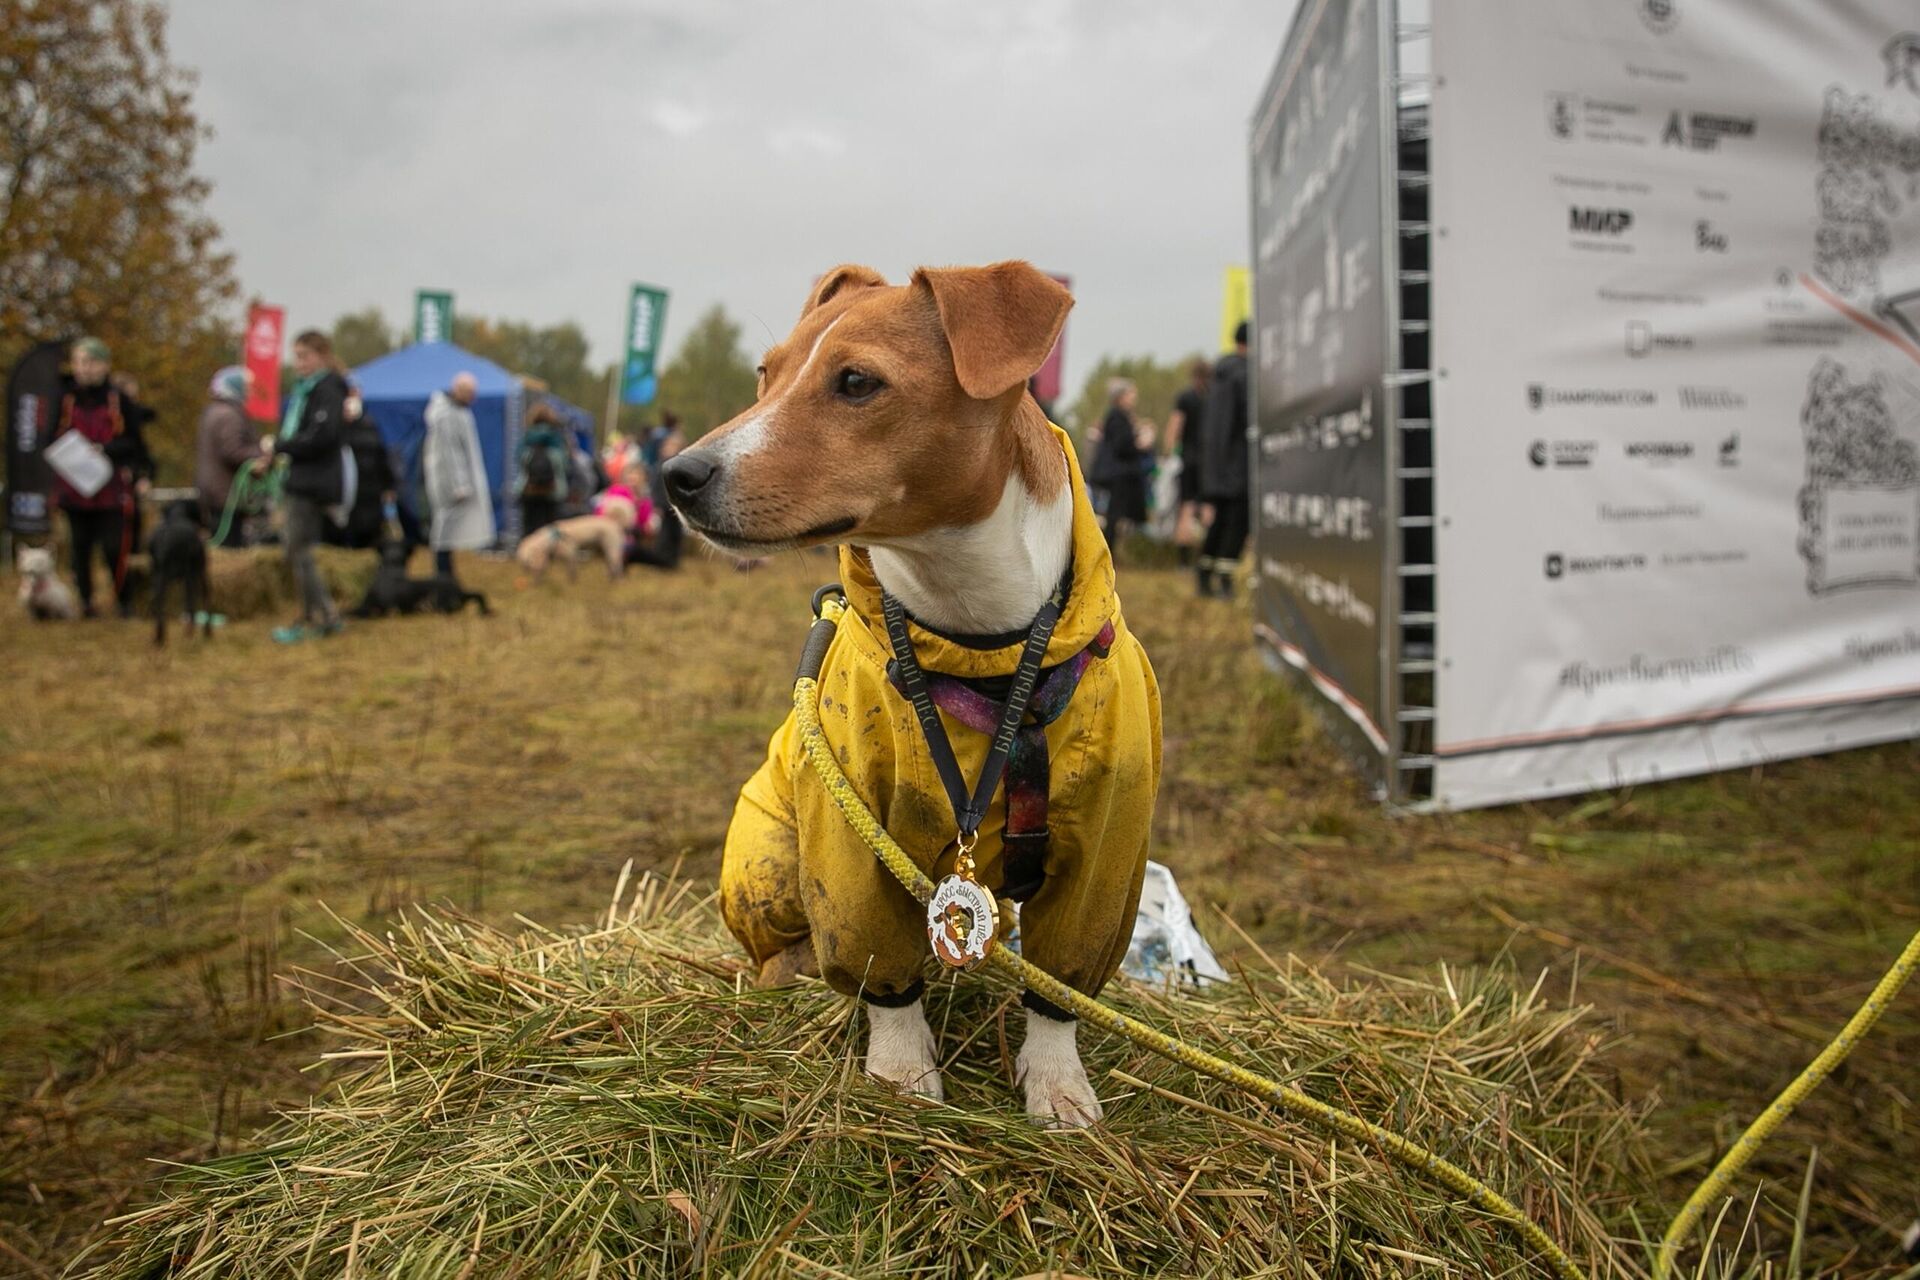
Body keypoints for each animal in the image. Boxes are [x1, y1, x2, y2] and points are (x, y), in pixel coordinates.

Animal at [147, 502, 214, 652]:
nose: (210, 523)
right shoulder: (197, 571)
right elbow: (203, 597)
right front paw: (205, 632)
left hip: (159, 576)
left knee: (157, 604)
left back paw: (159, 638)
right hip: (191, 573)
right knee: (192, 603)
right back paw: (192, 635)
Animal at [660, 262, 1167, 1128]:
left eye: (857, 382)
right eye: (766, 373)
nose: (678, 475)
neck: (981, 636)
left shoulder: (1107, 846)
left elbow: (1061, 984)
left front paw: (1057, 1078)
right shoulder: (851, 840)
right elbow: (880, 969)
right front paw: (900, 1073)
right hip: (767, 860)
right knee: (780, 954)